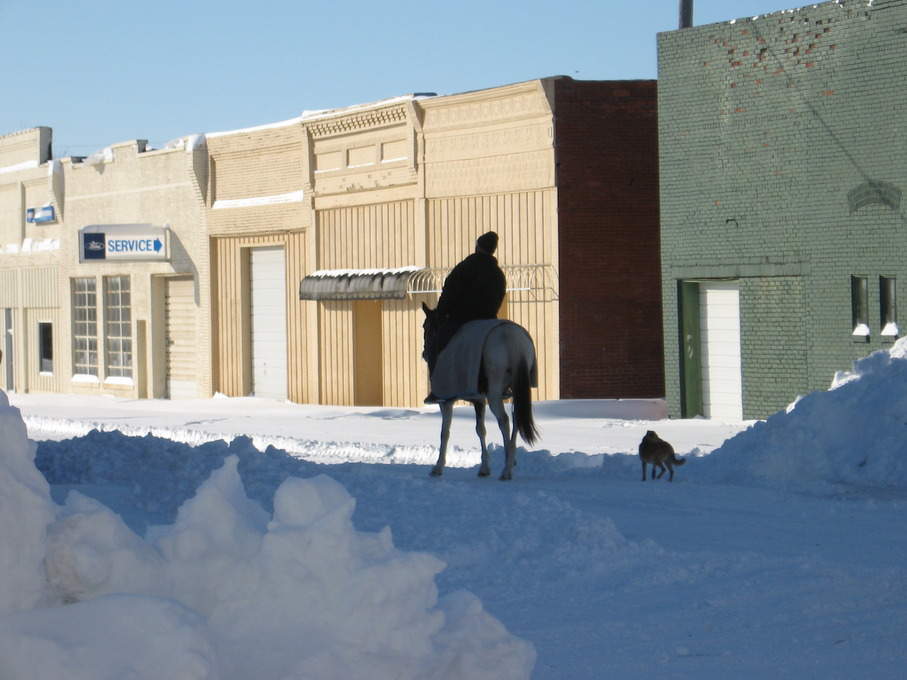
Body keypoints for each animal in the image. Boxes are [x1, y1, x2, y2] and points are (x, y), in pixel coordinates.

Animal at [420, 302, 540, 478]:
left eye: (425, 326)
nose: (425, 353)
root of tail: (510, 334)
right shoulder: (479, 400)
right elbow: (480, 430)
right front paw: (484, 467)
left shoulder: (446, 401)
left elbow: (445, 432)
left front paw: (438, 467)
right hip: (517, 391)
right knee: (516, 419)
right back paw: (510, 460)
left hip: (494, 394)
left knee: (504, 421)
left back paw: (506, 470)